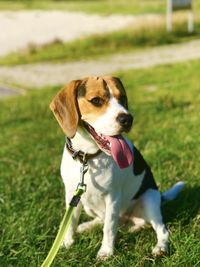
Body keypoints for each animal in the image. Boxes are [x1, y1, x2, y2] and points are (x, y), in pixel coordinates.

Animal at [50, 76, 184, 260]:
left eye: (122, 98)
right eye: (96, 101)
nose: (127, 119)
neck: (88, 157)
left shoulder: (112, 197)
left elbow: (109, 227)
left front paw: (106, 251)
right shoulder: (71, 194)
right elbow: (70, 222)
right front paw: (66, 243)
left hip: (149, 199)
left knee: (161, 230)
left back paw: (160, 247)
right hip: (88, 205)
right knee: (101, 219)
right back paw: (87, 226)